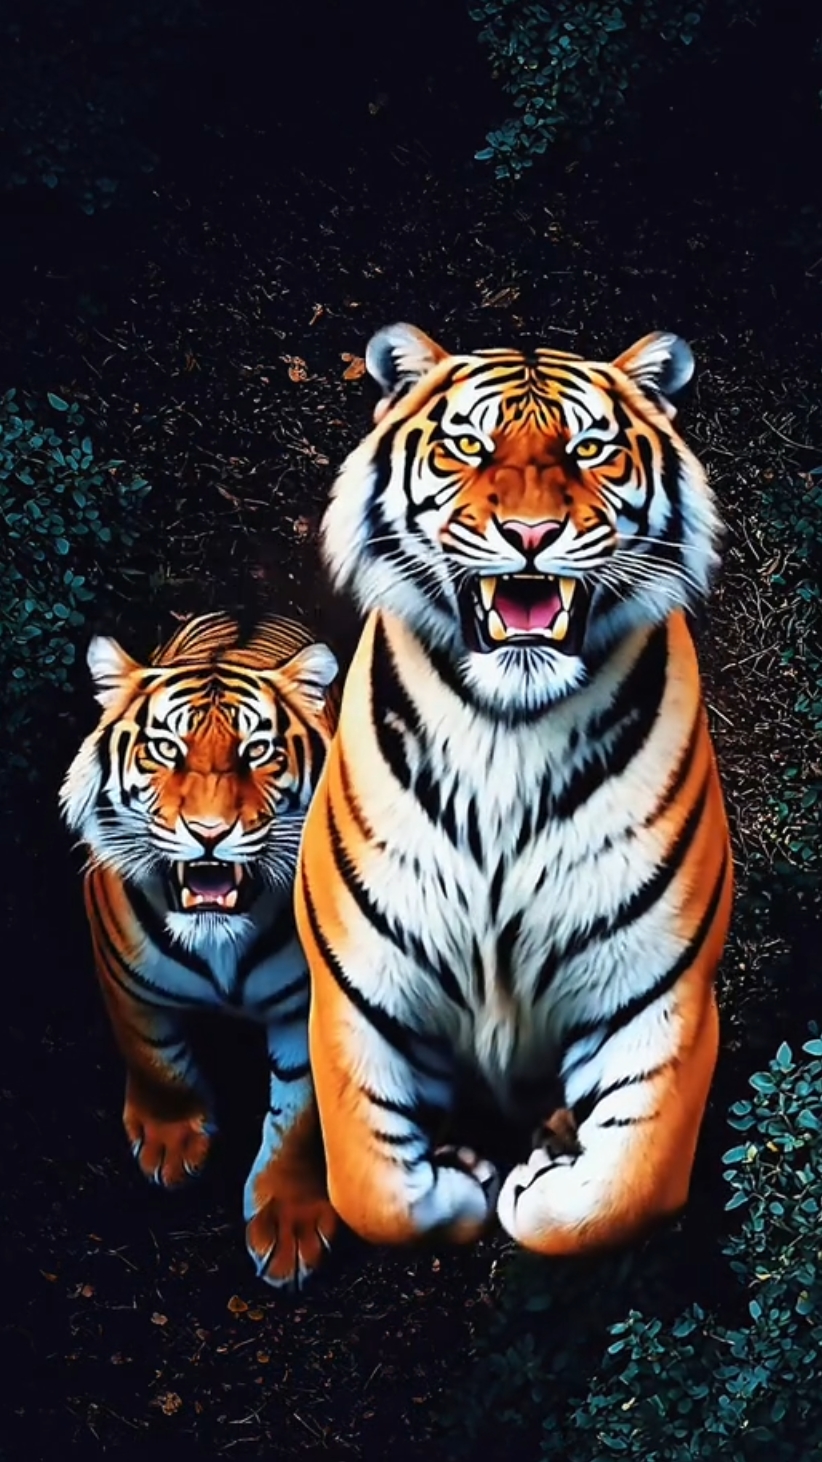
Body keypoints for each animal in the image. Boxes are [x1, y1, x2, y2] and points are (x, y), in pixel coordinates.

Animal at [60, 610, 340, 1287]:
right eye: (166, 748)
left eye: (257, 750)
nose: (209, 833)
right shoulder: (119, 969)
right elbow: (154, 1055)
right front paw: (169, 1143)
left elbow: (303, 1117)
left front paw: (290, 1225)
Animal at [295, 321, 733, 1259]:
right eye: (469, 446)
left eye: (590, 449)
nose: (531, 534)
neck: (509, 731)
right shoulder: (357, 995)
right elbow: (371, 1195)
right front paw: (462, 1177)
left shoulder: (659, 996)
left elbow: (617, 1199)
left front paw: (538, 1173)